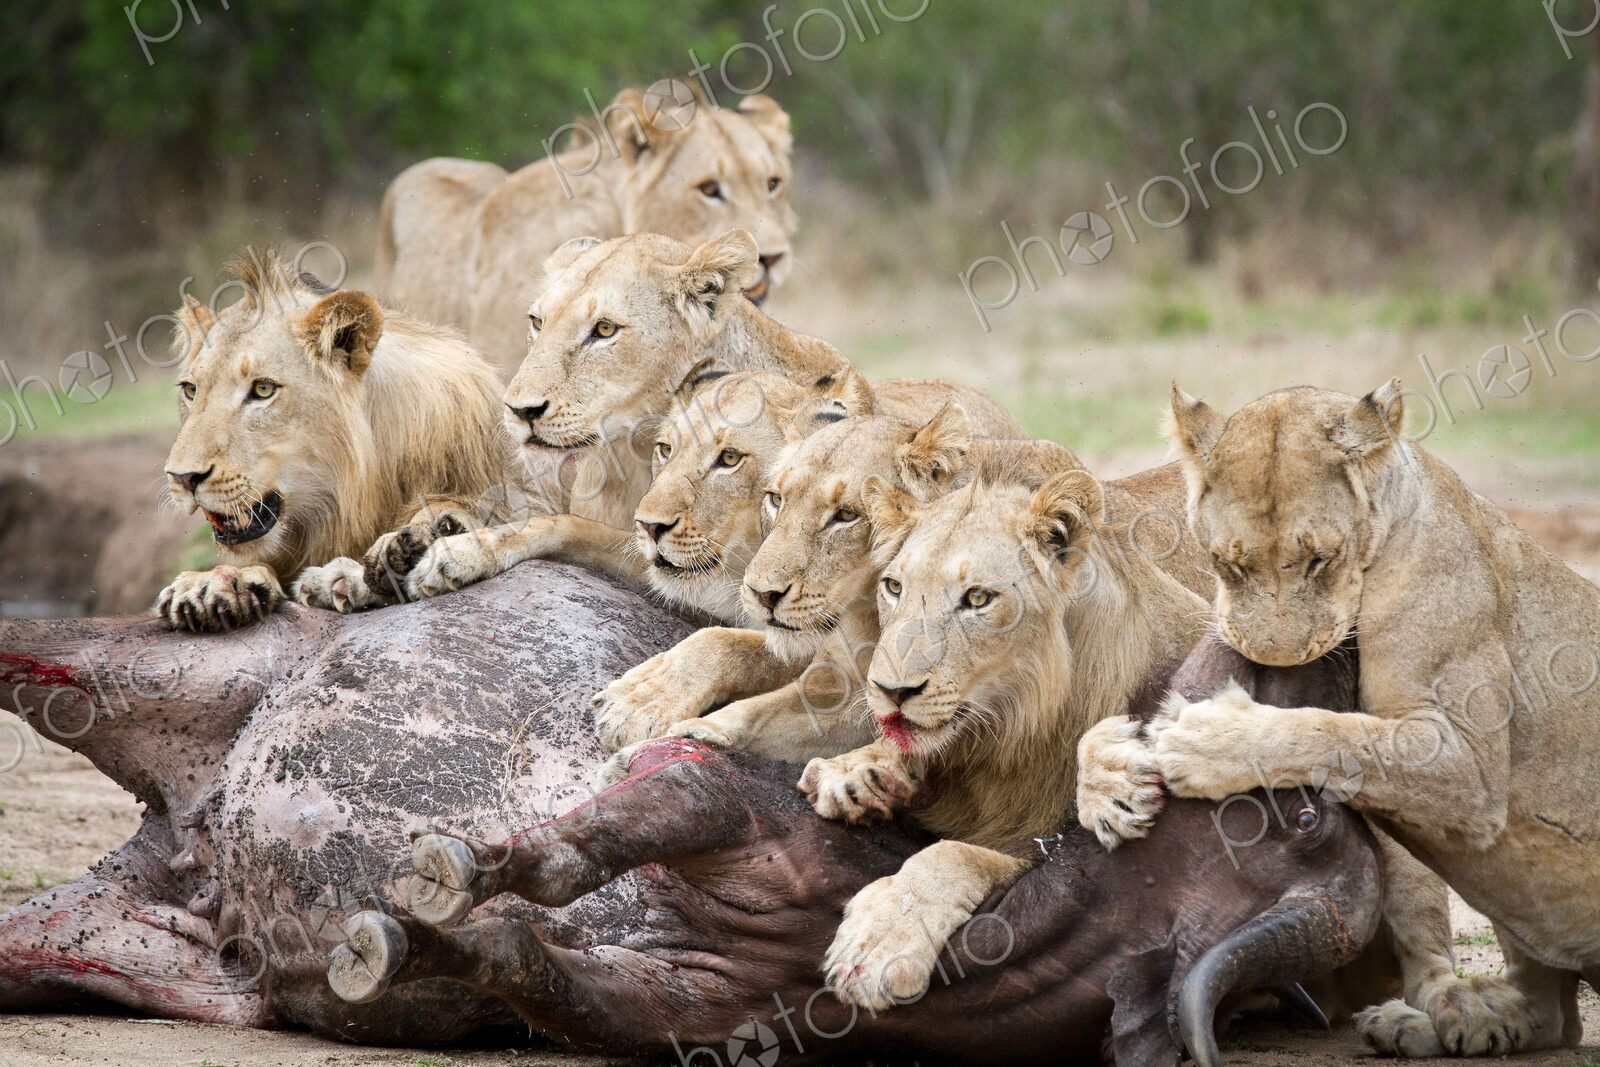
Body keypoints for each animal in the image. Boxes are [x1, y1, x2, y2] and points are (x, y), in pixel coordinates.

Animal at [1075, 381, 1590, 1056]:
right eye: (1227, 564)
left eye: (1320, 560)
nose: (1273, 658)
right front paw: (1108, 786)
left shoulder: (1470, 770)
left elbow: (1331, 730)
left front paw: (1208, 739)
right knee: (1555, 1015)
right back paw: (1449, 1023)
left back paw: (1456, 1015)